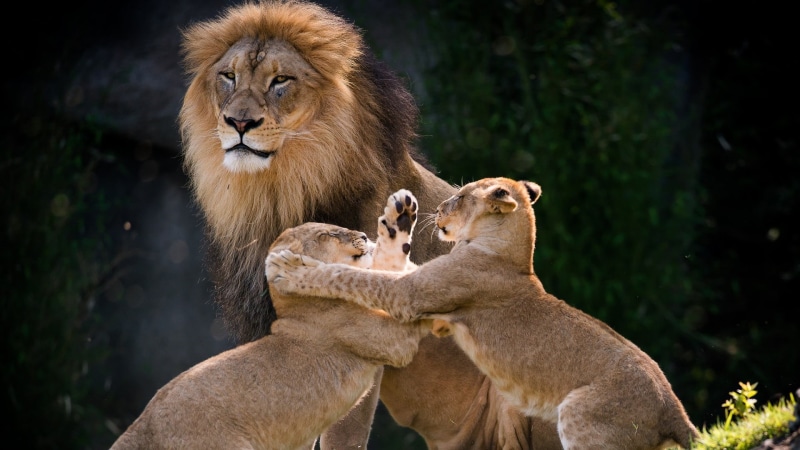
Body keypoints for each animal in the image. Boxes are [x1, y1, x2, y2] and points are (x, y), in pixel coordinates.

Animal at [110, 191, 430, 450]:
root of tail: (142, 427)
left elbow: (392, 269)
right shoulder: (389, 340)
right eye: (326, 235)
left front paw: (400, 217)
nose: (363, 236)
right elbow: (407, 295)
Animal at [267, 177, 701, 450]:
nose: (439, 208)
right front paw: (396, 216)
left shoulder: (412, 294)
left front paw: (291, 269)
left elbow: (350, 276)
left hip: (582, 417)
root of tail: (673, 408)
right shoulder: (432, 307)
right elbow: (384, 265)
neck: (508, 256)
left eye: (459, 198)